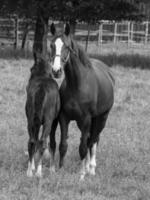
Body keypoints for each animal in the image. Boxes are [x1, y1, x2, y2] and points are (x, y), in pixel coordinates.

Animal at [49, 23, 114, 180]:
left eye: (66, 46)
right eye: (51, 45)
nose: (56, 71)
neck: (77, 85)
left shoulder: (85, 120)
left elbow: (83, 148)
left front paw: (82, 174)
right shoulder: (64, 118)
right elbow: (63, 145)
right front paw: (60, 169)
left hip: (101, 118)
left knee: (93, 141)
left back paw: (91, 168)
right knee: (90, 139)